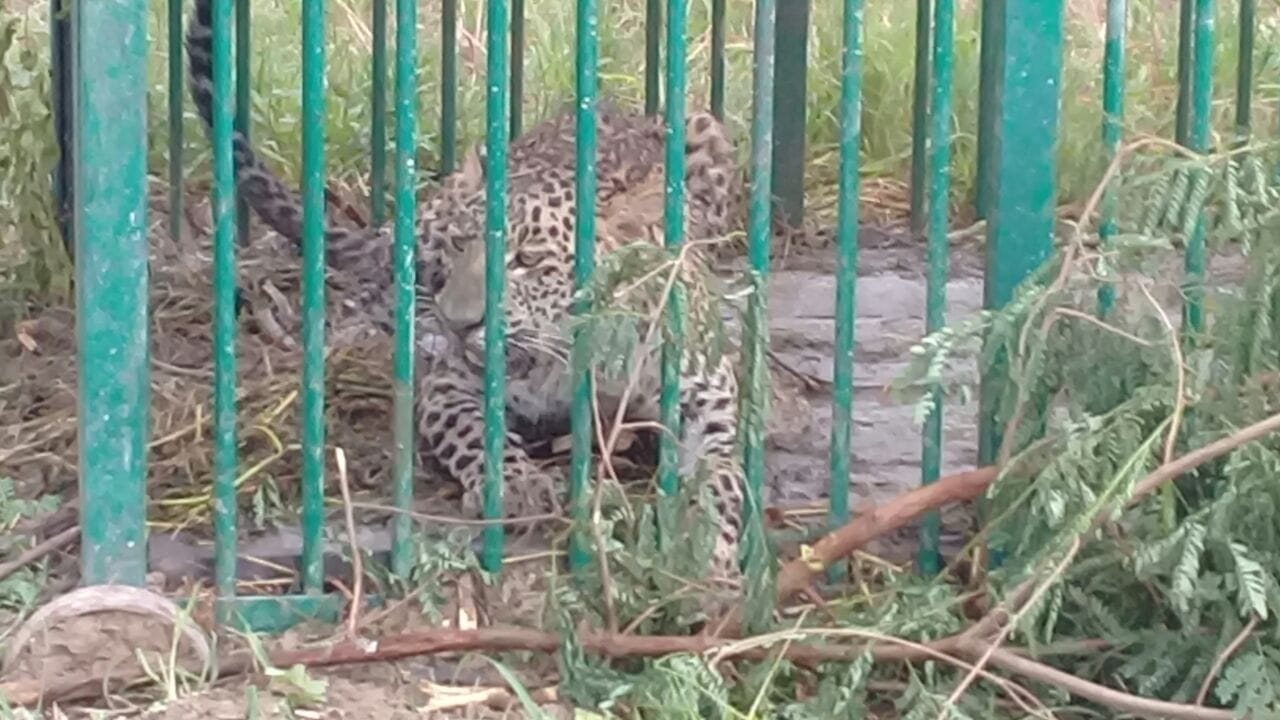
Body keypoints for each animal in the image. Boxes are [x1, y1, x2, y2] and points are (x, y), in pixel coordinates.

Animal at [185, 0, 754, 602]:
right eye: (463, 242)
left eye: (527, 260)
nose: (459, 324)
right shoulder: (451, 386)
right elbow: (477, 434)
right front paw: (518, 486)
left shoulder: (710, 399)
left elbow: (721, 477)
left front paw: (708, 552)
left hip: (705, 129)